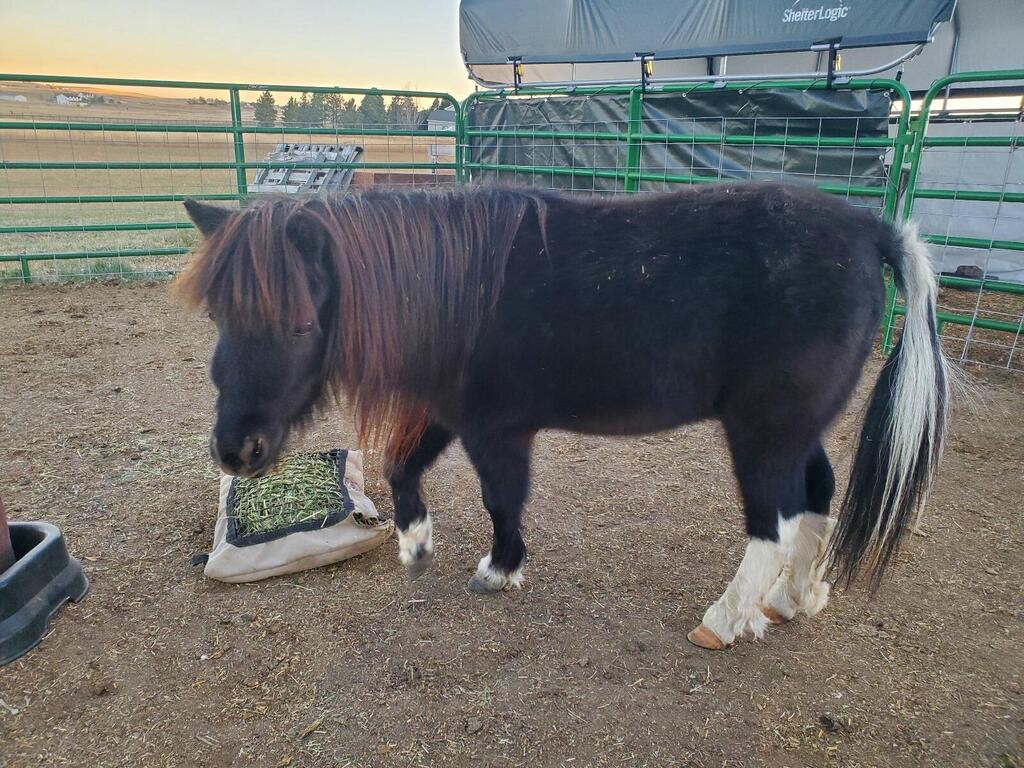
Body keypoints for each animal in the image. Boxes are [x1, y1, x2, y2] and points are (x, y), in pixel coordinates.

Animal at [178, 185, 950, 651]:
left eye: (301, 323)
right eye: (217, 314)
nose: (235, 449)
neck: (462, 292)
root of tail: (871, 230)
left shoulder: (495, 429)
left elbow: (502, 499)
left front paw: (500, 569)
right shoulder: (450, 413)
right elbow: (403, 469)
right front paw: (416, 544)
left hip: (763, 433)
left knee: (774, 522)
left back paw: (727, 619)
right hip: (797, 431)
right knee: (817, 497)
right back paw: (796, 597)